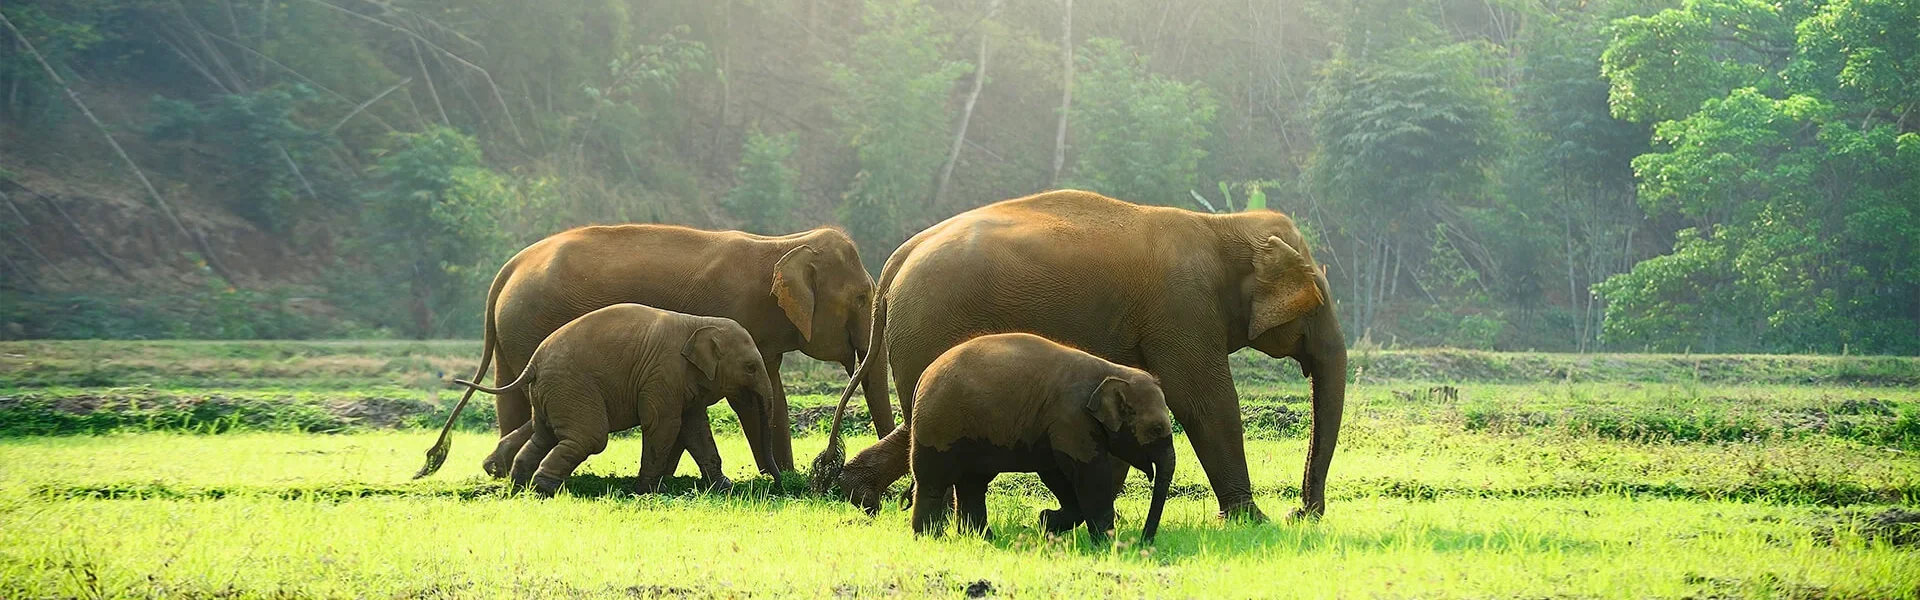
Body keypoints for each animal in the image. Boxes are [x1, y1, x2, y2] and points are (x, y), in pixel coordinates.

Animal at [444, 303, 778, 496]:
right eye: (751, 367)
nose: (778, 484)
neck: (697, 322)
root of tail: (533, 364)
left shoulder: (683, 381)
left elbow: (695, 428)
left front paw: (725, 488)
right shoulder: (662, 374)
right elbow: (663, 425)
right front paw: (645, 492)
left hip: (549, 393)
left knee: (544, 435)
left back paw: (520, 487)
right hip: (573, 388)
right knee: (589, 437)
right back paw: (542, 489)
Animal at [813, 189, 1345, 522]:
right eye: (1317, 301)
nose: (1302, 513)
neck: (1224, 228)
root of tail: (896, 261)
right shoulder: (1182, 310)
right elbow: (1205, 403)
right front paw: (1250, 520)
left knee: (917, 422)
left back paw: (858, 495)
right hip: (930, 325)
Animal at [906, 333, 1175, 545]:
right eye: (1156, 429)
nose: (1143, 542)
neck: (1113, 371)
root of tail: (924, 375)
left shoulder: (1056, 426)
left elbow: (1056, 472)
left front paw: (1046, 522)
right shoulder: (1071, 417)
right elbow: (1088, 472)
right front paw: (1105, 544)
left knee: (972, 483)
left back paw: (982, 538)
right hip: (939, 424)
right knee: (933, 479)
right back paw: (930, 538)